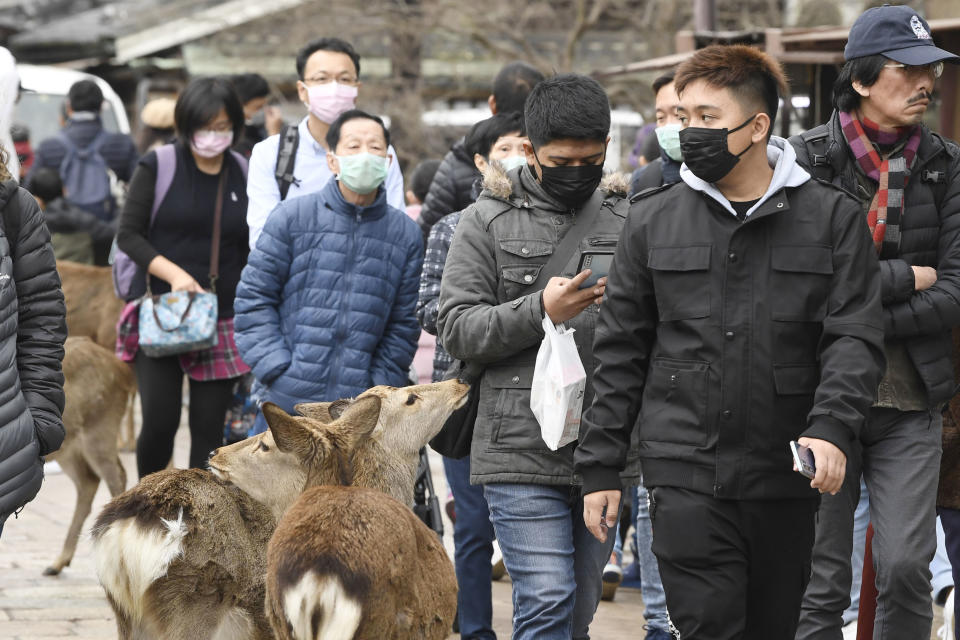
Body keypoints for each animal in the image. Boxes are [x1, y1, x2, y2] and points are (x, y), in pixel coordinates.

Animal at [42, 338, 133, 576]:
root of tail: (124, 370)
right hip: (69, 449)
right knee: (88, 482)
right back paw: (58, 562)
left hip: (99, 429)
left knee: (117, 476)